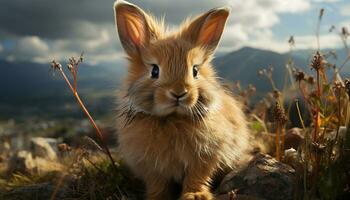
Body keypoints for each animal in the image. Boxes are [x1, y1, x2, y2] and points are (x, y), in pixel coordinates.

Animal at [113, 0, 253, 199]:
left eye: (195, 71)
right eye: (154, 70)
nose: (179, 92)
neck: (173, 118)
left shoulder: (204, 158)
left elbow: (197, 177)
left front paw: (195, 195)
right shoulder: (151, 168)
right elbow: (158, 184)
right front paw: (157, 197)